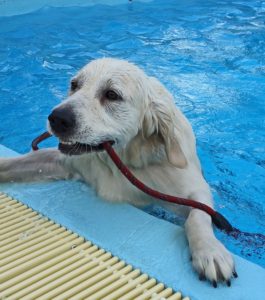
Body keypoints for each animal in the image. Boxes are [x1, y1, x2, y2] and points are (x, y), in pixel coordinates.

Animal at [0, 58, 235, 286]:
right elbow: (17, 163)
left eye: (112, 95)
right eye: (74, 85)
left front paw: (210, 251)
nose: (57, 118)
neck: (121, 160)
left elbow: (198, 215)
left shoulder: (189, 188)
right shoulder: (65, 162)